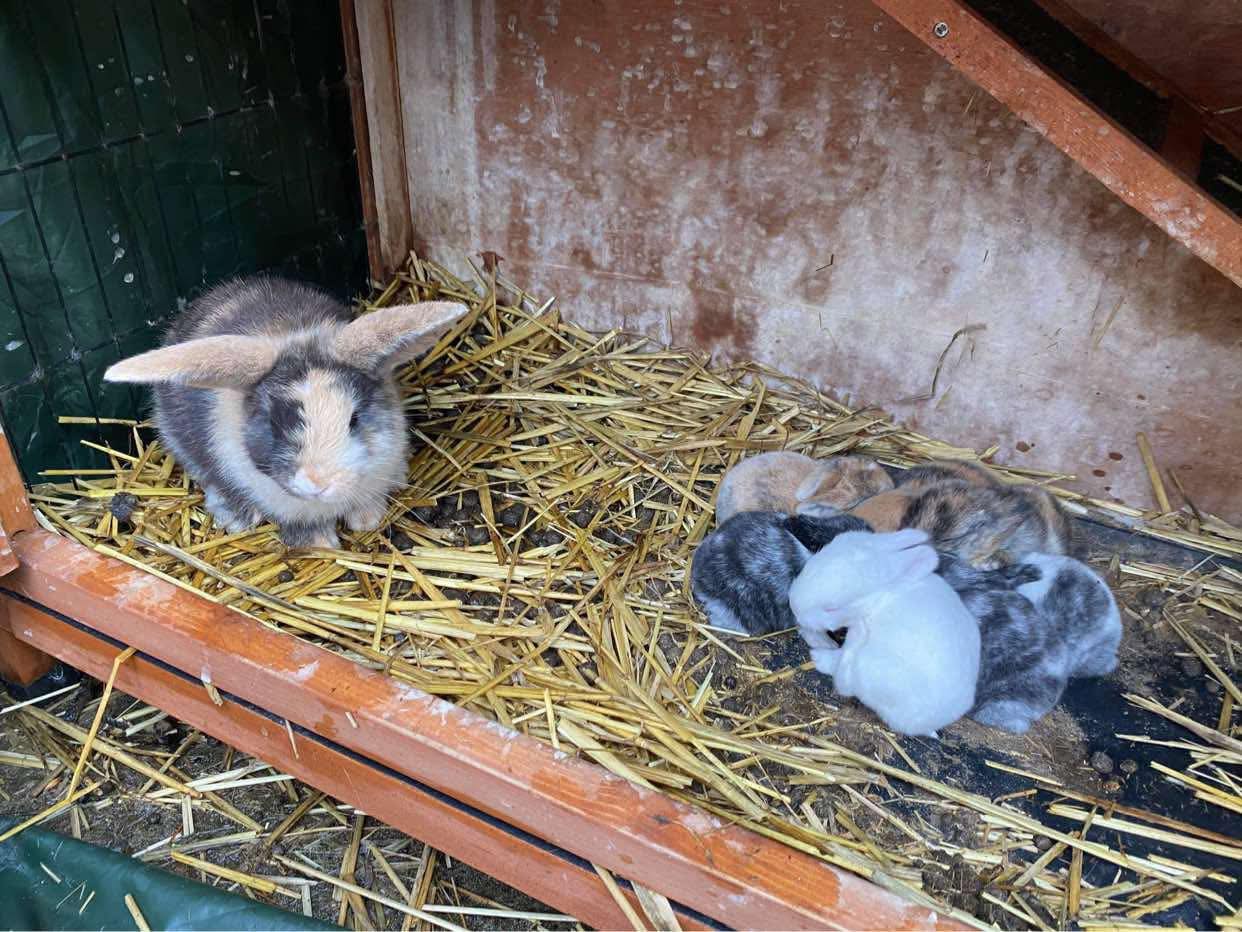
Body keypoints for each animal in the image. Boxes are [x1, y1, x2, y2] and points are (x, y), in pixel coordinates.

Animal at [789, 529, 980, 737]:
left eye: (832, 608)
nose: (794, 605)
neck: (880, 596)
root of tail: (930, 724)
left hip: (870, 669)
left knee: (845, 680)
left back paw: (825, 653)